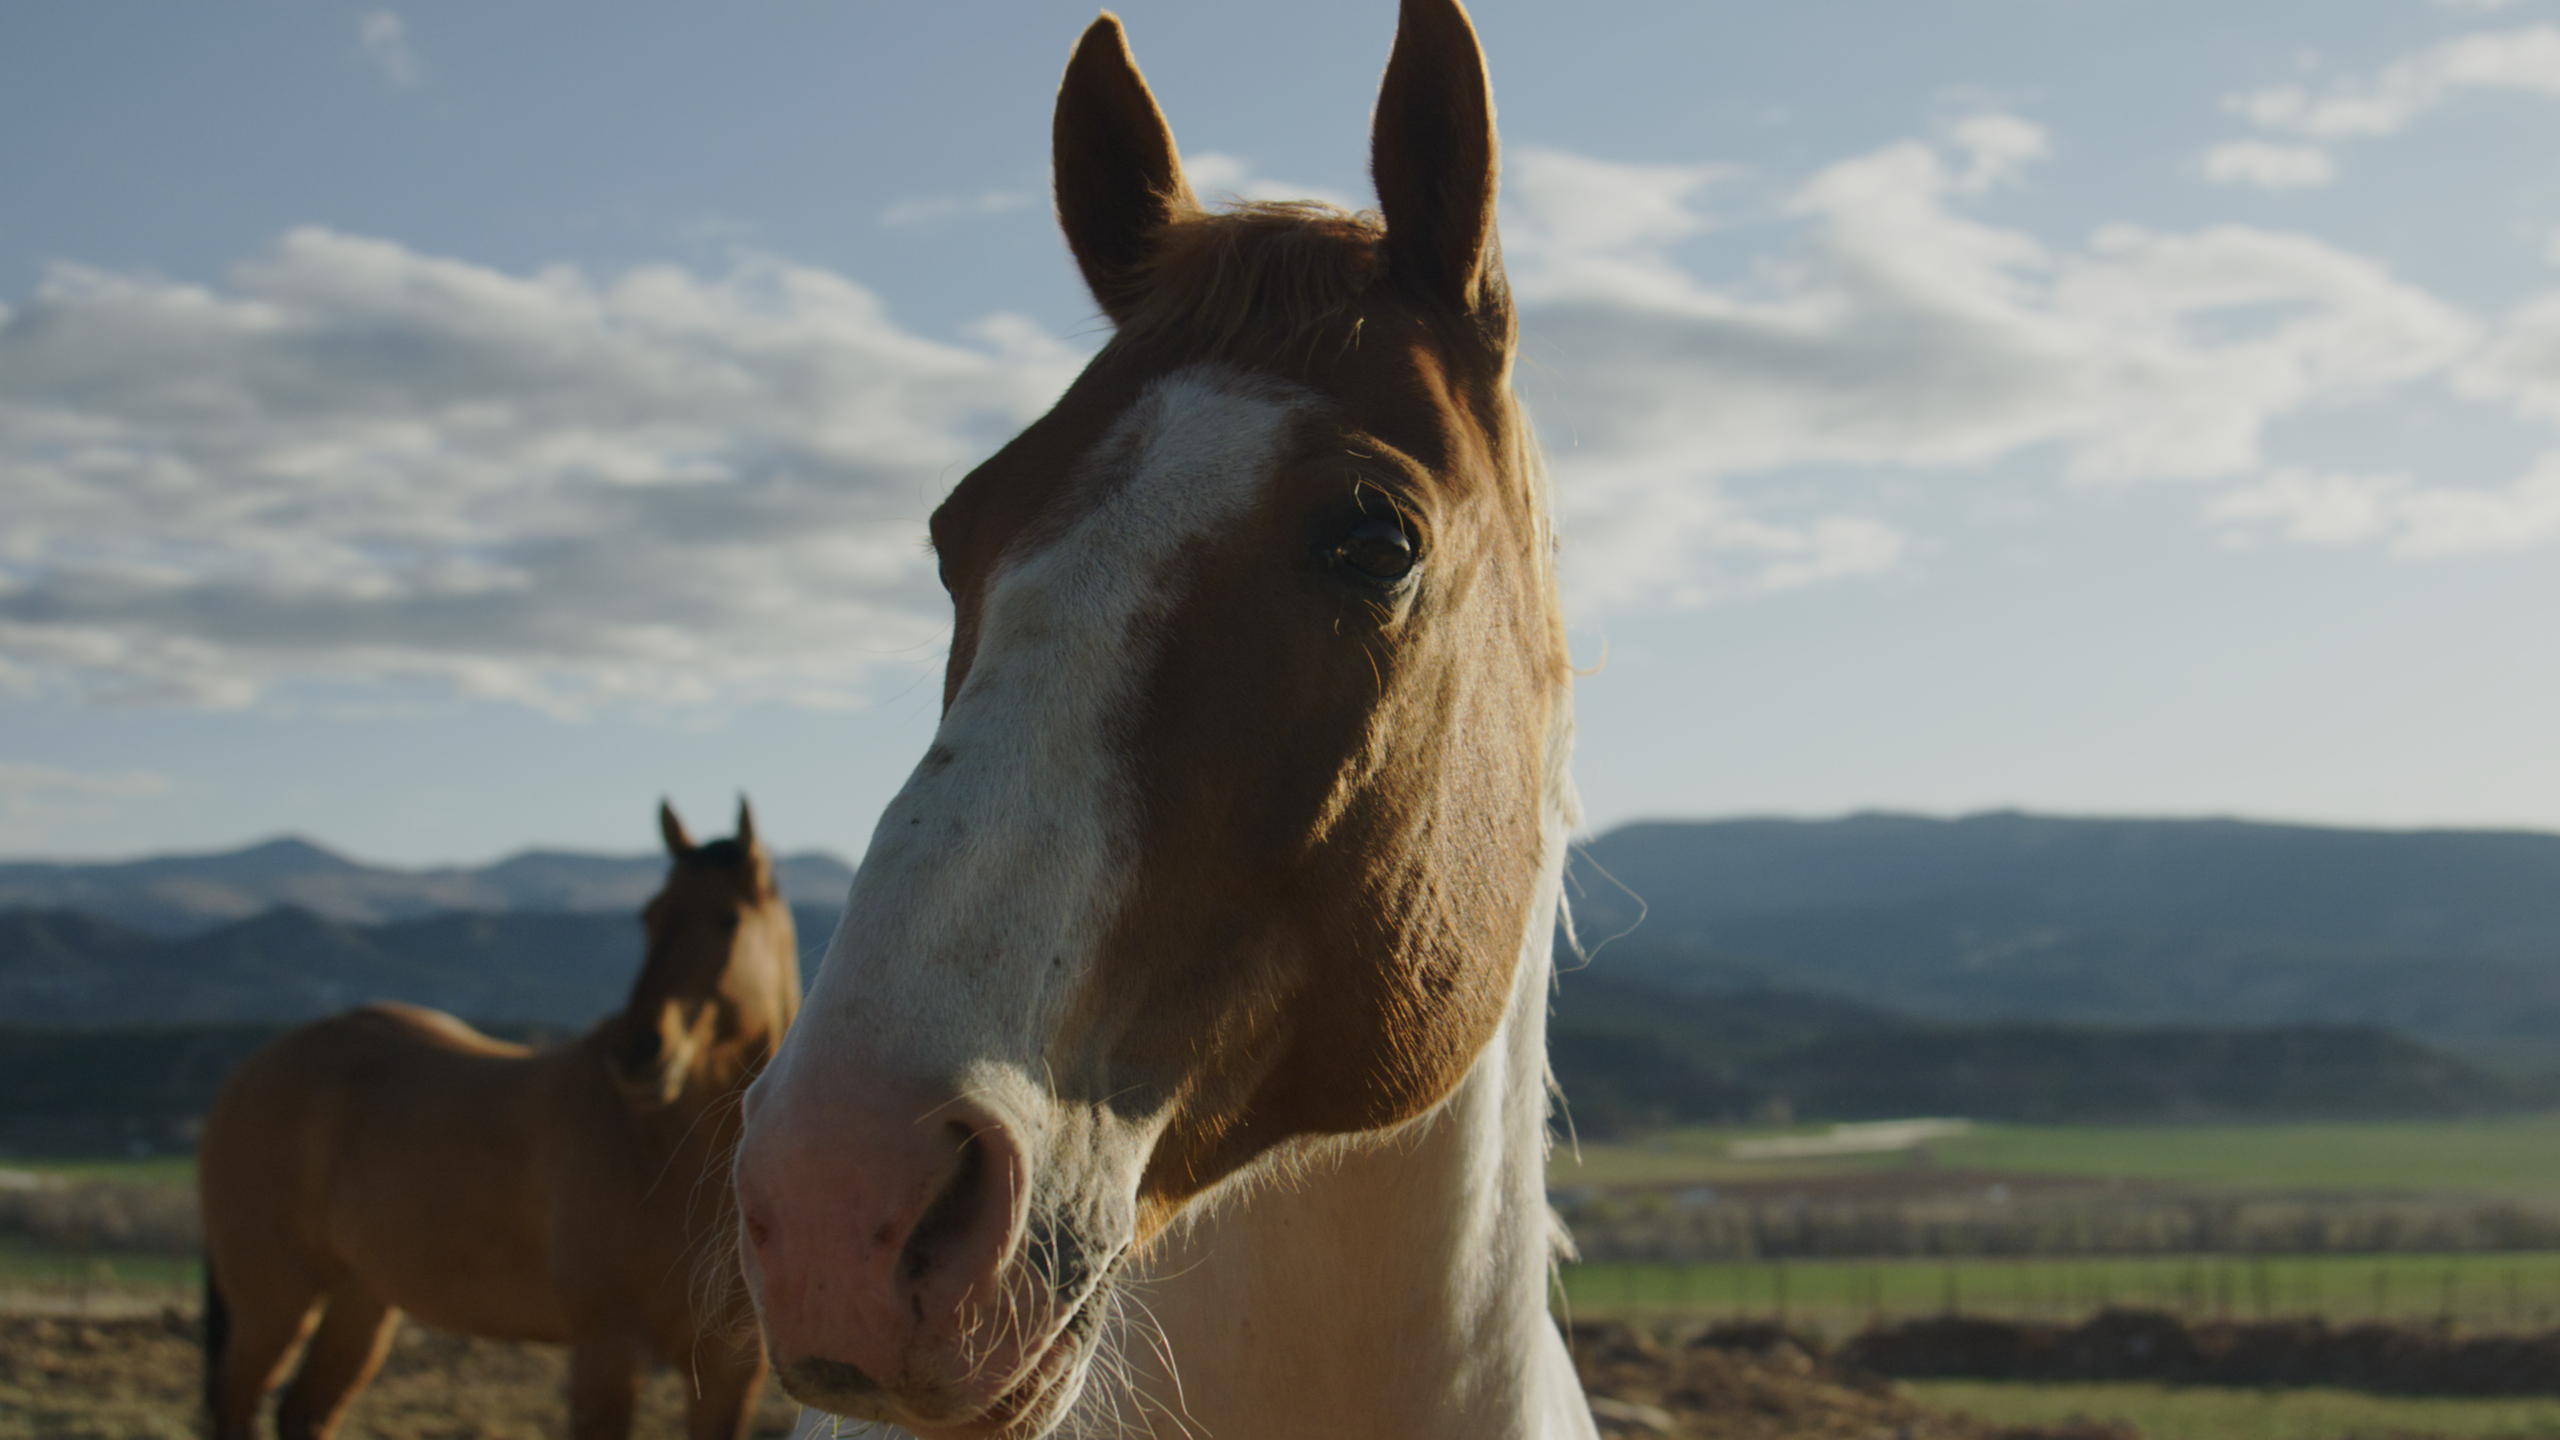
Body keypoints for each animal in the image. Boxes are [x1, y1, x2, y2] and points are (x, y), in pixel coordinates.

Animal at [199, 801, 802, 1440]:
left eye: (728, 919)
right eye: (649, 916)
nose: (638, 1051)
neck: (661, 1150)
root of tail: (245, 1074)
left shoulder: (729, 1370)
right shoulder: (607, 1350)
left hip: (358, 1300)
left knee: (304, 1411)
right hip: (274, 1305)